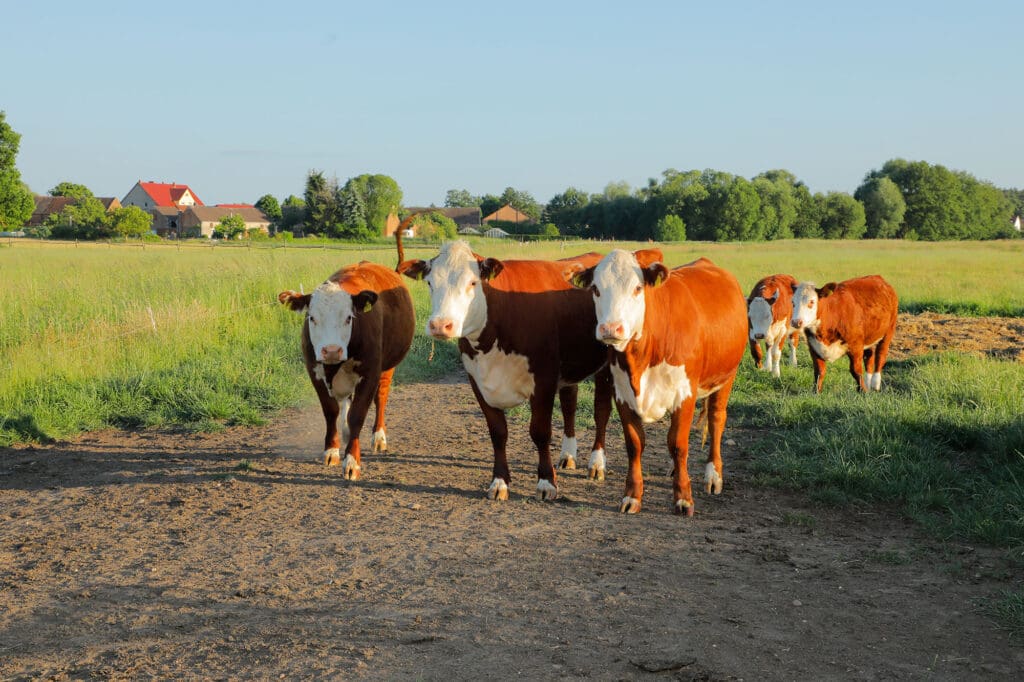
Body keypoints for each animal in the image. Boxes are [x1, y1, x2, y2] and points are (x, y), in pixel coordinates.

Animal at [278, 260, 413, 477]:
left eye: (349, 318)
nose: (332, 350)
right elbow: (331, 411)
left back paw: (379, 437)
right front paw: (332, 450)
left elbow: (358, 414)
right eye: (312, 318)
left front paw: (351, 461)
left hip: (388, 366)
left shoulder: (370, 373)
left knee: (381, 398)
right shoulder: (315, 373)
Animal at [565, 250, 749, 516]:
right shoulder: (623, 395)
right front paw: (632, 496)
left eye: (637, 288)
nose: (611, 328)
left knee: (716, 420)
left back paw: (713, 475)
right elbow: (635, 444)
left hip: (726, 376)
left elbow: (678, 444)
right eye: (596, 289)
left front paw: (683, 498)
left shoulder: (685, 394)